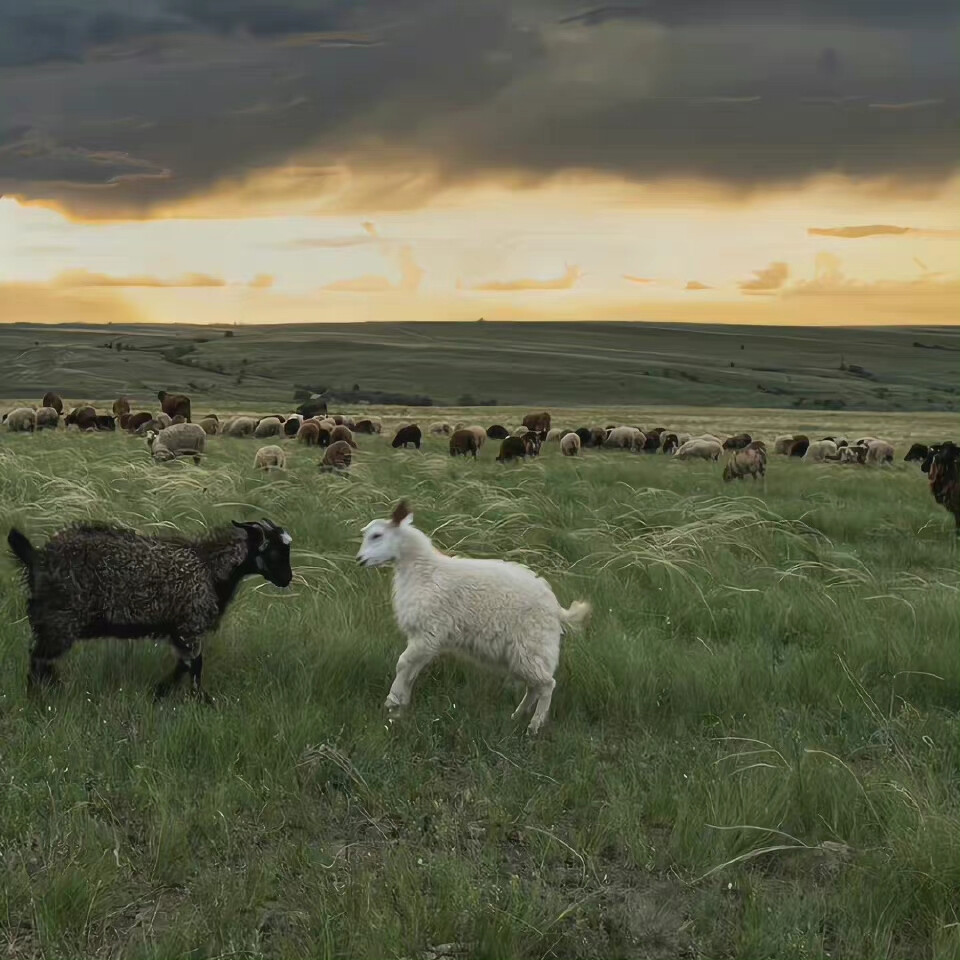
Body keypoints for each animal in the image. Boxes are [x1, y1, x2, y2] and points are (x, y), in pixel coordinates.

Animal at [6, 516, 292, 696]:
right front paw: (197, 700)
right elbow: (195, 666)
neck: (210, 567)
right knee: (38, 661)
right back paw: (40, 699)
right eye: (274, 551)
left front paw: (161, 693)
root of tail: (37, 557)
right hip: (59, 619)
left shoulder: (180, 631)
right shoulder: (190, 625)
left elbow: (185, 665)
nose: (287, 579)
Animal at [356, 502, 588, 736]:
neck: (423, 571)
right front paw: (400, 706)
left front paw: (391, 702)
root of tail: (558, 609)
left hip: (533, 647)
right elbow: (411, 672)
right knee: (534, 686)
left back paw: (533, 726)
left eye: (377, 535)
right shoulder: (427, 640)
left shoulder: (427, 633)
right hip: (523, 655)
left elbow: (402, 664)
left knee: (547, 685)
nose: (359, 560)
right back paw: (517, 716)